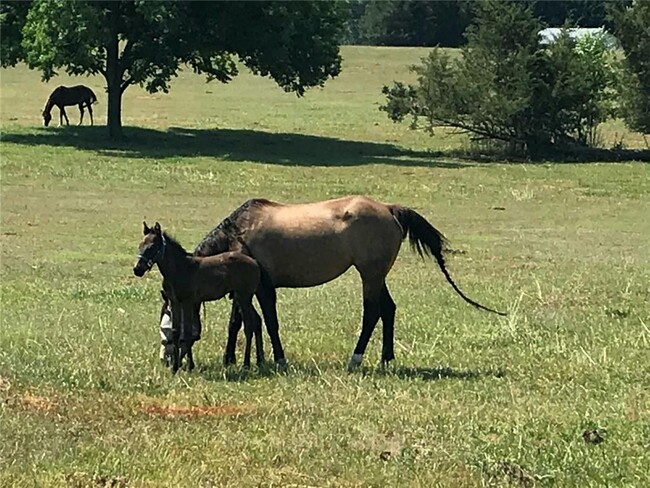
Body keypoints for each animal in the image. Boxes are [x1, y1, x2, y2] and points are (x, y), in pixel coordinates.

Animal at [134, 223, 264, 372]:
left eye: (151, 247)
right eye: (140, 245)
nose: (137, 269)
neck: (180, 268)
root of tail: (255, 263)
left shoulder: (187, 302)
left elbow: (187, 332)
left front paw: (189, 365)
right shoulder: (175, 302)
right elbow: (176, 331)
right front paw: (175, 367)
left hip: (244, 297)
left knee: (249, 326)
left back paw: (246, 364)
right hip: (240, 297)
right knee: (254, 321)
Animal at [180, 194, 504, 370]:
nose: (178, 354)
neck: (238, 232)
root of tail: (389, 209)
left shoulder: (262, 287)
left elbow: (269, 323)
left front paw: (278, 360)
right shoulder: (242, 287)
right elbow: (237, 323)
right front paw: (229, 360)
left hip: (369, 275)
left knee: (373, 313)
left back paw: (356, 359)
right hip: (376, 276)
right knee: (388, 309)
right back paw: (386, 359)